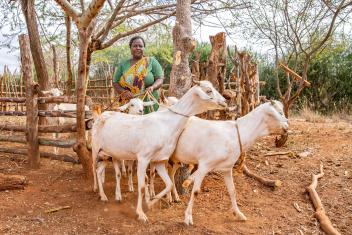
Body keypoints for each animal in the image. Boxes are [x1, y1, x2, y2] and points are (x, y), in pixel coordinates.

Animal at [92, 81, 227, 222]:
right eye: (209, 90)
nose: (225, 101)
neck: (167, 124)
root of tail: (101, 115)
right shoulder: (143, 158)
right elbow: (141, 187)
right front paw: (141, 214)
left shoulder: (159, 160)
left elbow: (169, 184)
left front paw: (151, 202)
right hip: (95, 149)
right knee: (94, 169)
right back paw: (97, 190)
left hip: (107, 154)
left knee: (99, 170)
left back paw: (104, 196)